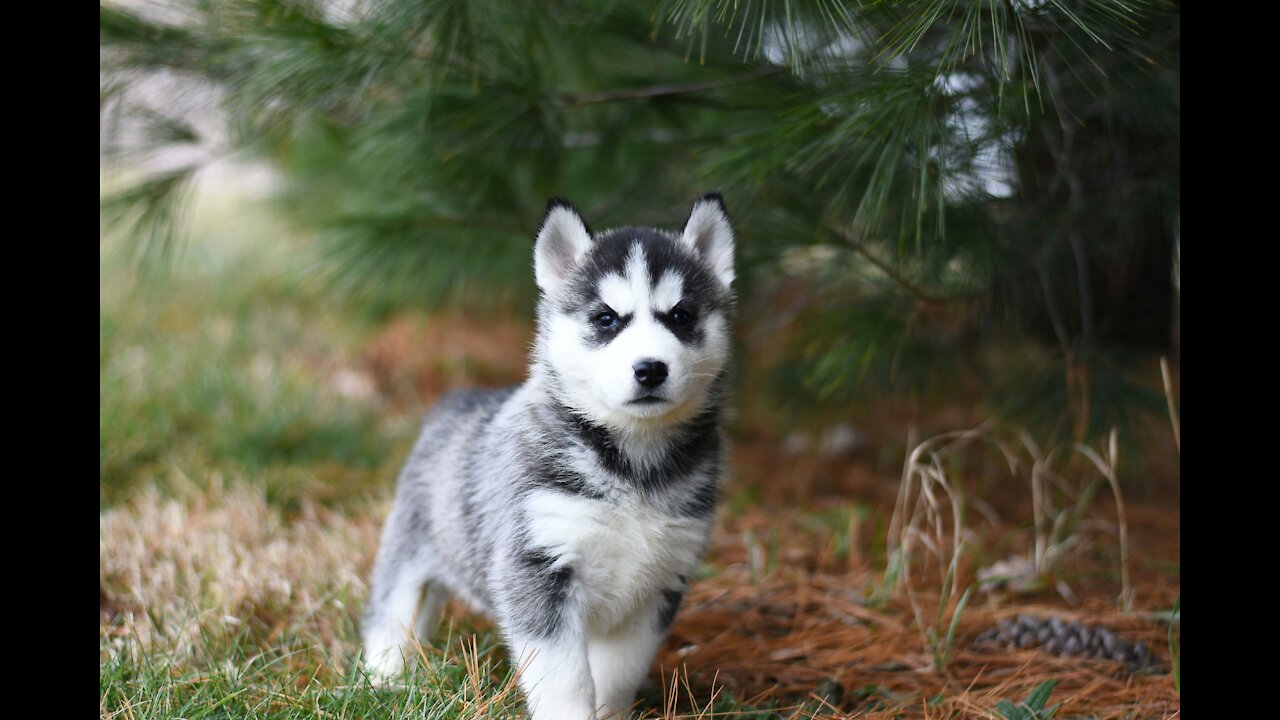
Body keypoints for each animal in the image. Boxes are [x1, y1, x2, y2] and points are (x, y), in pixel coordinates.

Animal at [366, 193, 737, 712]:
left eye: (680, 316)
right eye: (606, 319)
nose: (650, 369)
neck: (633, 464)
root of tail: (456, 400)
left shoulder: (659, 586)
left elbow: (618, 673)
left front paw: (610, 713)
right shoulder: (537, 568)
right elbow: (565, 678)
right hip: (408, 548)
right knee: (390, 611)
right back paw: (386, 678)